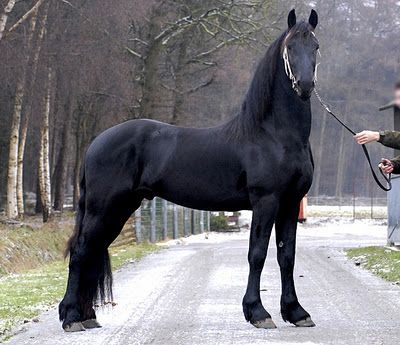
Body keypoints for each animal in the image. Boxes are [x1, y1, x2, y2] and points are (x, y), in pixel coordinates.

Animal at [59, 8, 320, 330]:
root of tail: (96, 143)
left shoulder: (290, 203)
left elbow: (287, 256)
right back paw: (71, 317)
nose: (305, 86)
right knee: (81, 251)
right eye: (290, 48)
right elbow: (257, 254)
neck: (274, 134)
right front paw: (258, 312)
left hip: (119, 208)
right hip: (103, 207)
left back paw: (87, 316)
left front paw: (296, 312)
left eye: (316, 47)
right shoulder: (266, 201)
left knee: (93, 250)